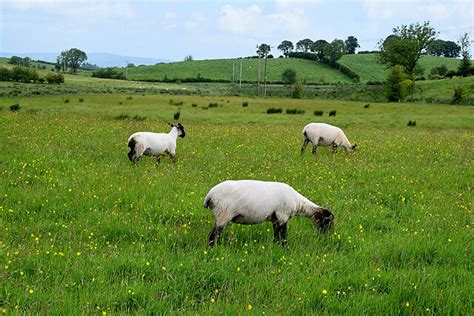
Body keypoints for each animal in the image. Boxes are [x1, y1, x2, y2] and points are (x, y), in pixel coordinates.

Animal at [204, 180, 334, 247]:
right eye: (327, 220)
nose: (327, 236)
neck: (298, 203)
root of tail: (209, 196)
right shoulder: (282, 215)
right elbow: (284, 234)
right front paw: (285, 247)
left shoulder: (275, 218)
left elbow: (276, 233)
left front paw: (275, 244)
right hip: (223, 213)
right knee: (215, 234)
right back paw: (216, 247)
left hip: (220, 215)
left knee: (213, 233)